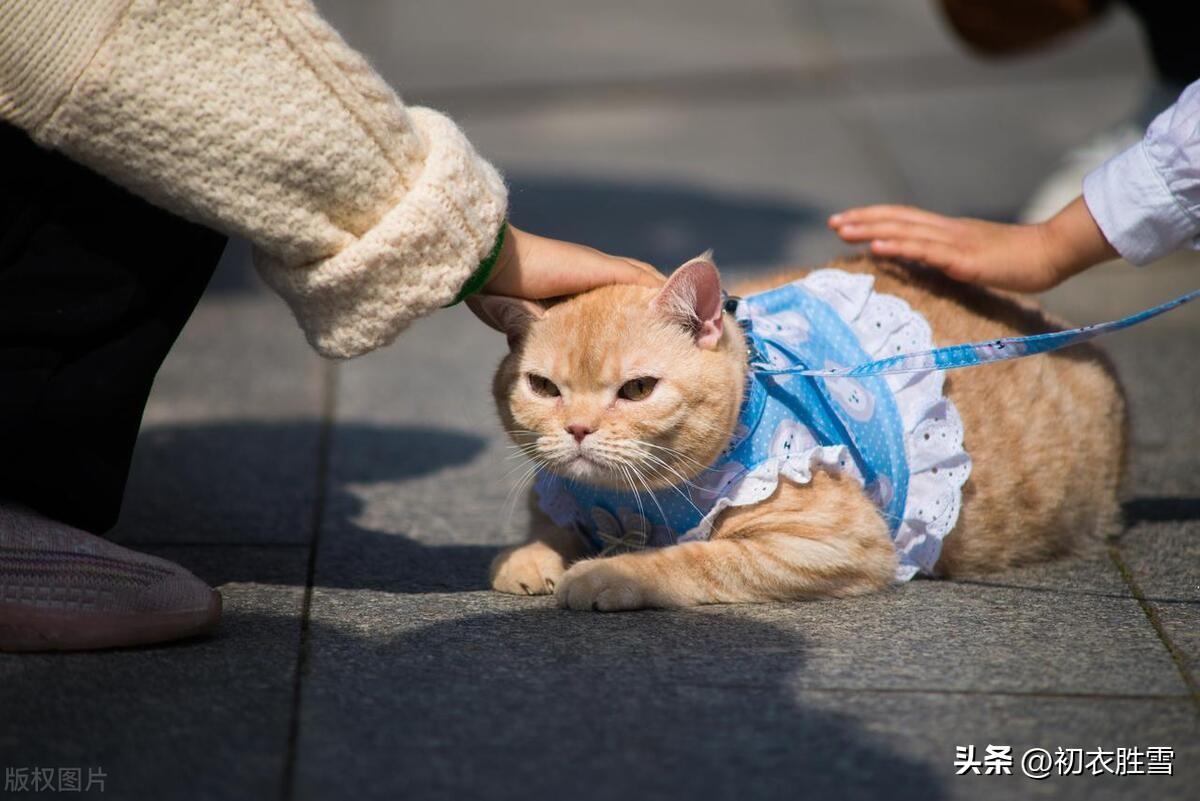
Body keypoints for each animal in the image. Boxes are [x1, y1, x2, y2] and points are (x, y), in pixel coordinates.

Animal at [465, 256, 1123, 613]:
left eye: (636, 389)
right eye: (543, 387)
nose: (577, 428)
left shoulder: (836, 542)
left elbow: (694, 559)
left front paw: (609, 574)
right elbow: (545, 528)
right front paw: (531, 558)